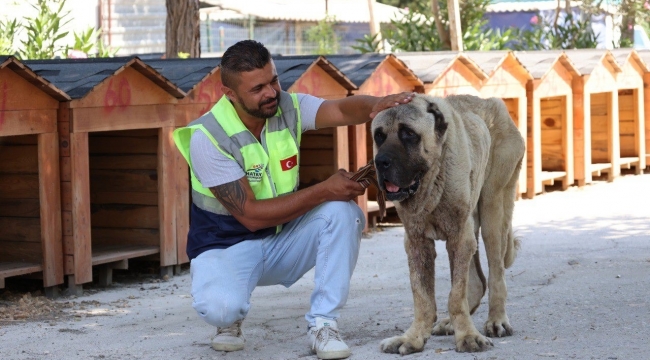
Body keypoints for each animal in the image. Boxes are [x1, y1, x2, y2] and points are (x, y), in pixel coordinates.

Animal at [372, 94, 524, 352]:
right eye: (379, 136)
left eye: (408, 134)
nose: (380, 162)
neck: (432, 180)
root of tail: (493, 102)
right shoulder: (417, 242)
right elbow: (422, 294)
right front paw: (413, 337)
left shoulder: (459, 237)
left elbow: (455, 294)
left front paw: (468, 336)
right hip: (471, 223)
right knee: (477, 281)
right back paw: (452, 323)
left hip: (492, 210)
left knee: (496, 273)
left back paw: (496, 320)